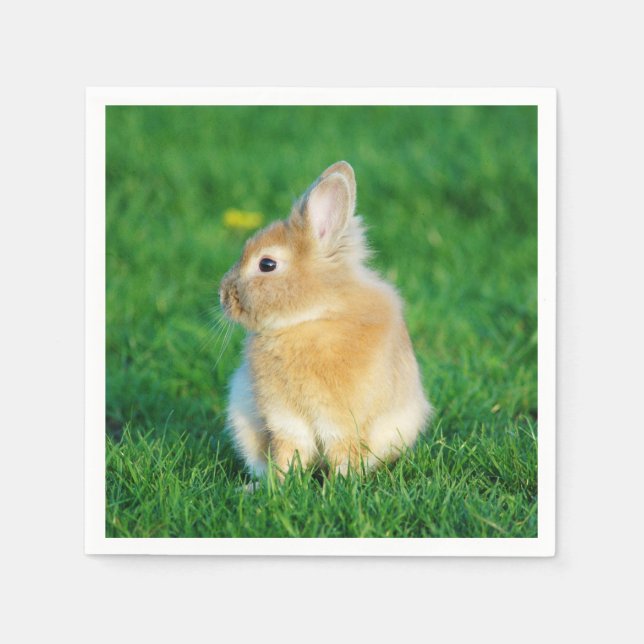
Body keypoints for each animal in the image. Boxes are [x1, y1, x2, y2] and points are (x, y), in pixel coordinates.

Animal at [219, 161, 432, 478]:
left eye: (267, 264)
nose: (223, 295)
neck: (311, 318)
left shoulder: (341, 421)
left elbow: (341, 451)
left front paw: (340, 484)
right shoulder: (284, 419)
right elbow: (288, 451)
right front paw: (279, 483)